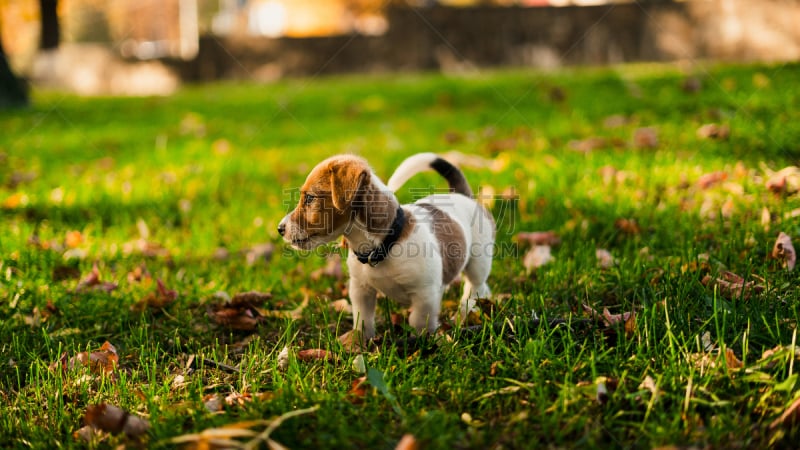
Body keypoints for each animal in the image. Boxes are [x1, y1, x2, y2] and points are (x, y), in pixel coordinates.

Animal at [280, 153, 494, 342]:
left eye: (310, 198)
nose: (279, 229)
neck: (383, 247)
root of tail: (460, 195)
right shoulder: (360, 290)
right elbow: (363, 320)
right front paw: (361, 342)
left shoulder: (425, 296)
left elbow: (418, 321)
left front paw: (420, 341)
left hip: (478, 262)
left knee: (476, 287)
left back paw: (465, 313)